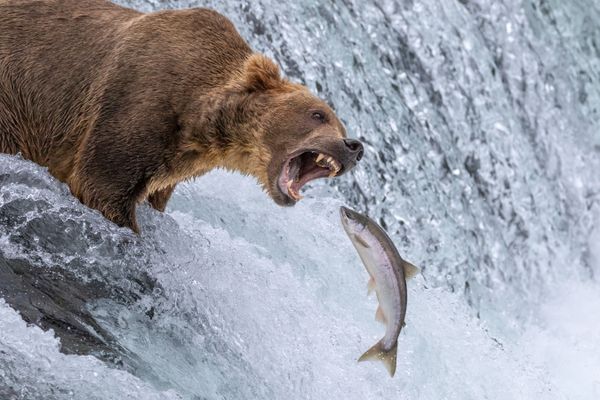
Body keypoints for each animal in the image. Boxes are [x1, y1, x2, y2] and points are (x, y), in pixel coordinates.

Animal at [0, 0, 360, 233]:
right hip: (12, 97)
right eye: (318, 114)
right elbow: (100, 183)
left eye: (340, 123)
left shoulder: (172, 163)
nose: (354, 146)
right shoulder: (139, 99)